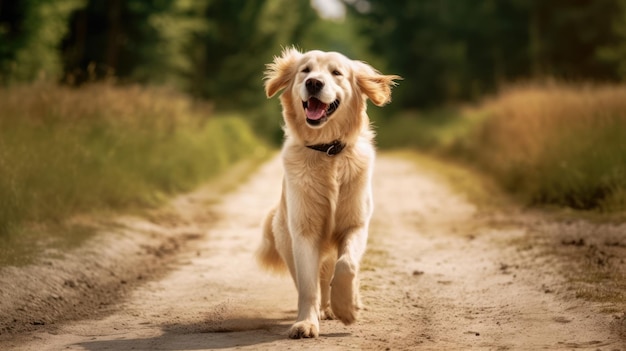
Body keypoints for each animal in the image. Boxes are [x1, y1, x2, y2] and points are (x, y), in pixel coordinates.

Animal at [258, 48, 400, 340]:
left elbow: (347, 265)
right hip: (285, 238)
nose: (314, 83)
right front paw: (306, 323)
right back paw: (323, 309)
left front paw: (347, 308)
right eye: (305, 70)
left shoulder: (356, 224)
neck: (328, 151)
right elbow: (308, 285)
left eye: (336, 73)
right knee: (317, 280)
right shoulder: (304, 231)